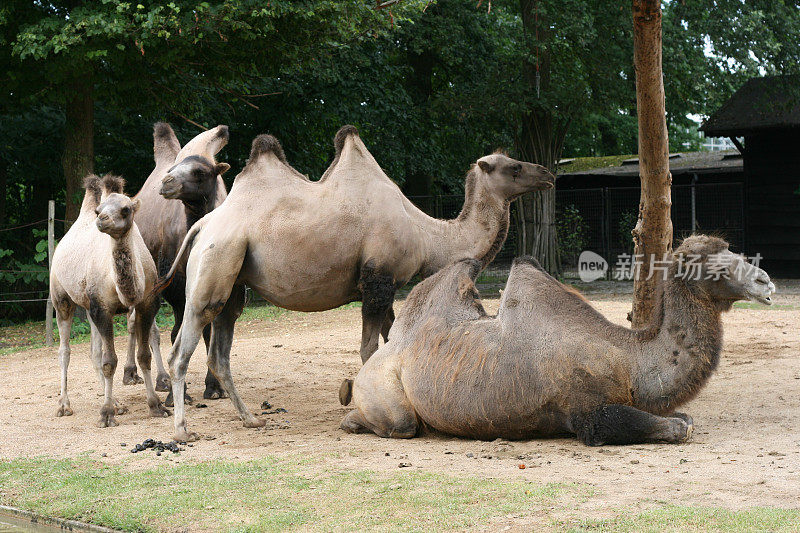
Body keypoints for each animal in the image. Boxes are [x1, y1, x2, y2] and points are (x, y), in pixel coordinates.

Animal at [50, 175, 170, 428]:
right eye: (99, 210)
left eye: (125, 209)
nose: (102, 220)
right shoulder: (102, 308)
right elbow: (109, 362)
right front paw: (106, 414)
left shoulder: (146, 304)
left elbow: (144, 356)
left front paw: (156, 406)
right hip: (61, 299)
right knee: (65, 350)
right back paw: (64, 405)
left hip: (88, 307)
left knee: (94, 351)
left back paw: (117, 402)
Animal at [122, 121, 230, 404]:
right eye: (173, 170)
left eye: (199, 172)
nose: (167, 182)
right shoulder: (173, 286)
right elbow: (175, 333)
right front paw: (175, 394)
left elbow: (208, 331)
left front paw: (214, 387)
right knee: (138, 322)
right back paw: (140, 375)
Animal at [157, 124, 556, 440]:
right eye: (514, 167)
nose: (547, 174)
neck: (428, 236)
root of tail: (203, 224)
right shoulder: (378, 280)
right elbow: (369, 349)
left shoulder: (390, 287)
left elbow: (392, 341)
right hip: (216, 261)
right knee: (182, 346)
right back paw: (182, 429)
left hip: (234, 280)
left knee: (219, 352)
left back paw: (251, 419)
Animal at [340, 235, 776, 442]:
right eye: (708, 262)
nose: (765, 281)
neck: (629, 359)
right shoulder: (584, 410)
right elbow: (674, 426)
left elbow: (684, 418)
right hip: (384, 389)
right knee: (400, 423)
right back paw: (353, 420)